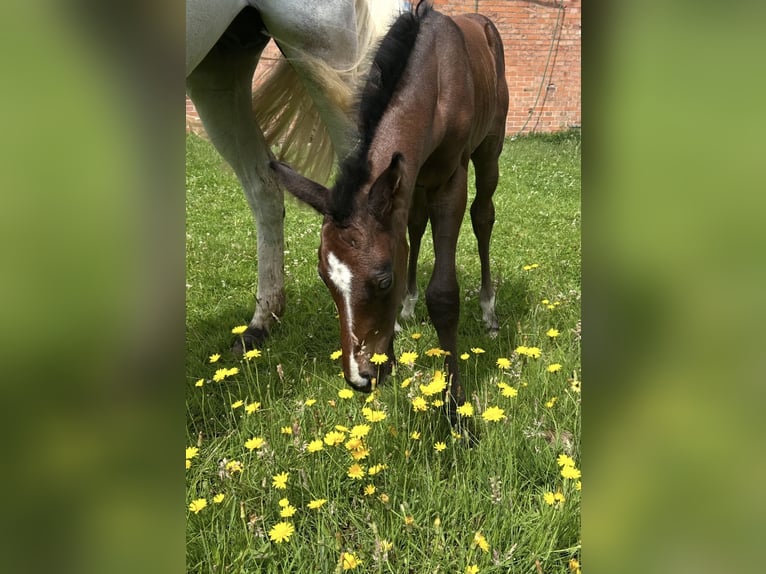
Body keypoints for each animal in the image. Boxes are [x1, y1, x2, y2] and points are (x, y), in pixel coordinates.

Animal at [272, 3, 509, 414]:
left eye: (382, 281)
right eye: (326, 280)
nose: (361, 377)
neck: (435, 77)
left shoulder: (451, 180)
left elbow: (443, 294)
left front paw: (456, 409)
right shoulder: (407, 178)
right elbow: (407, 235)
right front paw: (399, 323)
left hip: (489, 149)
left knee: (483, 216)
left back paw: (489, 311)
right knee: (415, 225)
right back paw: (409, 307)